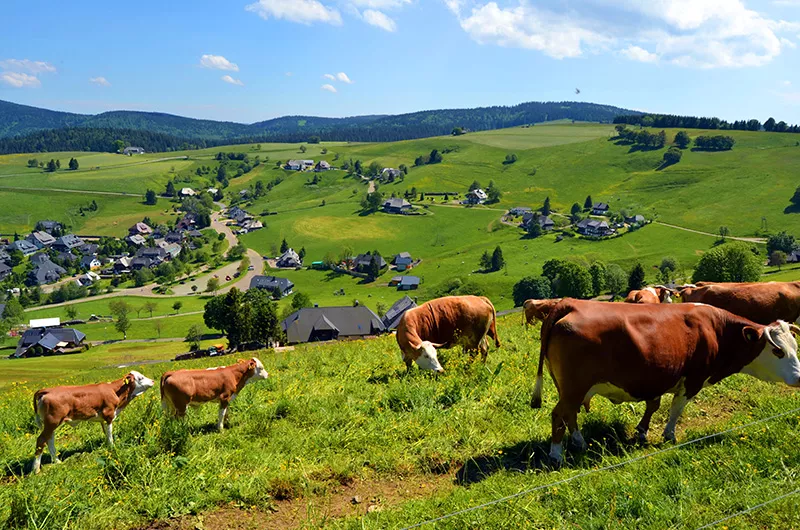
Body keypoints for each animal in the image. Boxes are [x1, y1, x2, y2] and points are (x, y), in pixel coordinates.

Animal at [532, 300, 800, 464]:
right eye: (778, 351)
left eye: (795, 347)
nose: (799, 377)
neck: (716, 330)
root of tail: (570, 303)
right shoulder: (692, 380)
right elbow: (675, 409)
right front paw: (669, 435)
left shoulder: (657, 376)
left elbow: (654, 405)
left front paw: (642, 431)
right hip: (574, 387)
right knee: (559, 415)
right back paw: (556, 454)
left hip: (569, 389)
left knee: (570, 414)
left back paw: (579, 442)